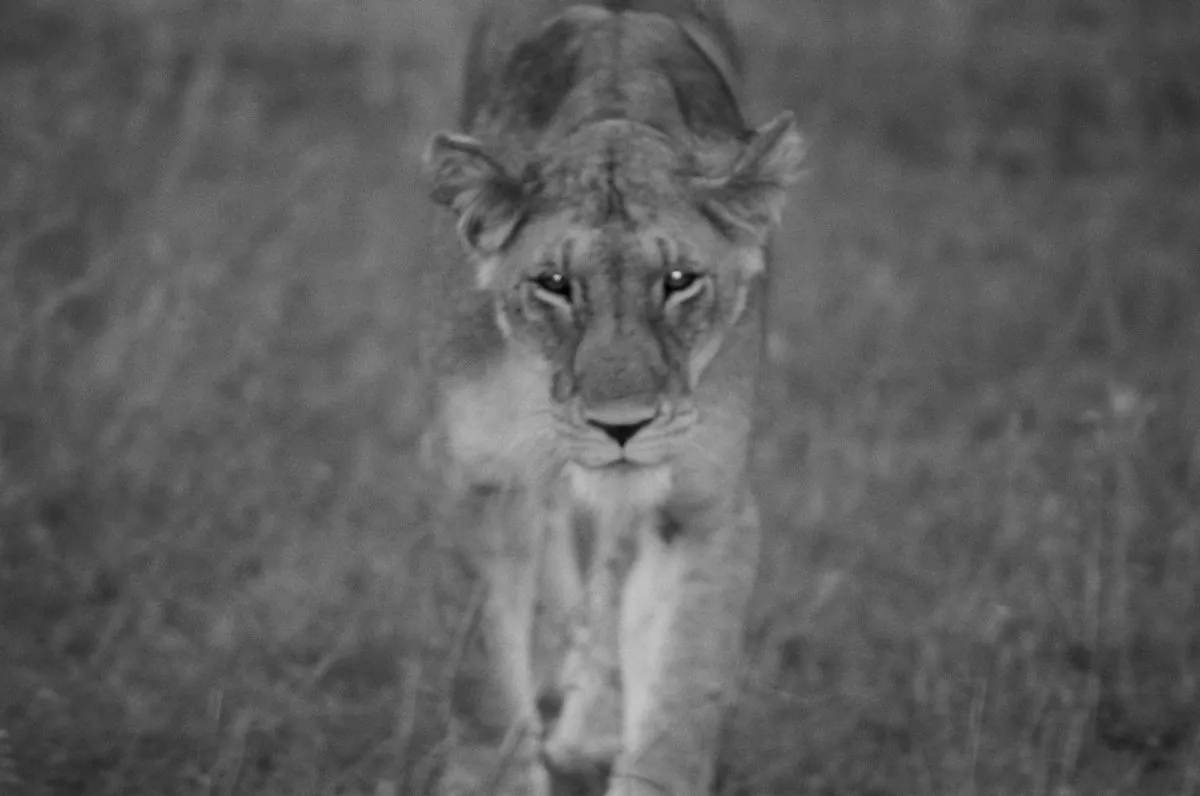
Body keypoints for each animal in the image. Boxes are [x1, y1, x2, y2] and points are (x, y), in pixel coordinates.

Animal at [419, 2, 803, 794]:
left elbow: (681, 695)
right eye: (555, 285)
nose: (619, 427)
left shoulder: (704, 502)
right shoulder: (476, 476)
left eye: (680, 280)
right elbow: (483, 673)